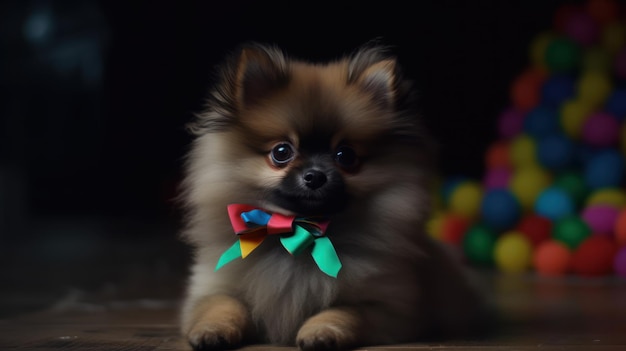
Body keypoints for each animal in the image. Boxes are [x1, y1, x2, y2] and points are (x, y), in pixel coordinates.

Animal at [178, 42, 490, 350]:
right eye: (282, 152)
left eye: (345, 155)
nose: (315, 175)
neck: (300, 235)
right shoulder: (214, 286)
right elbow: (222, 306)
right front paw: (212, 331)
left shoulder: (389, 308)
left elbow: (344, 312)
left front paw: (321, 332)